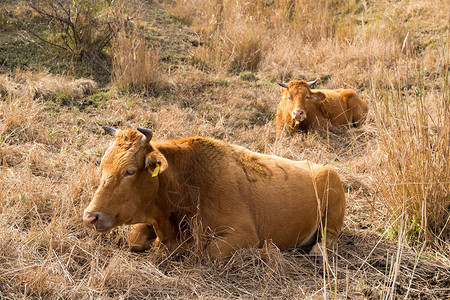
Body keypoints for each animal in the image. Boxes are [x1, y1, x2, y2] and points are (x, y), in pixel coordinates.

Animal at [83, 127, 344, 258]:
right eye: (102, 166)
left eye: (129, 171)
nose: (90, 217)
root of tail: (321, 167)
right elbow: (135, 238)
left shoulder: (245, 235)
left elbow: (210, 252)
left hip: (332, 196)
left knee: (329, 236)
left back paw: (318, 251)